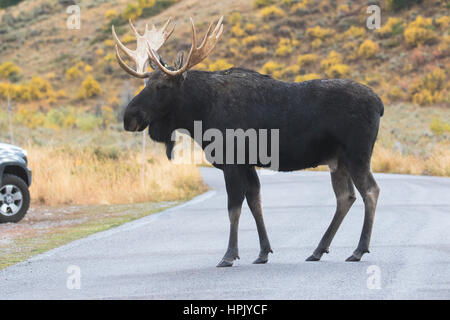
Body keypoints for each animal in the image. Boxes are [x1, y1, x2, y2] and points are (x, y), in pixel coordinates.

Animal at [112, 17, 384, 268]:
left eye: (161, 86)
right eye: (146, 82)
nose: (129, 117)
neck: (200, 113)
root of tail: (379, 104)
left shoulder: (231, 162)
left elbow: (234, 209)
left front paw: (229, 255)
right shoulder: (247, 164)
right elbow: (255, 203)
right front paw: (263, 252)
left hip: (357, 153)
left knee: (371, 190)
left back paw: (359, 249)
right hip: (337, 159)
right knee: (345, 197)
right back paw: (319, 250)